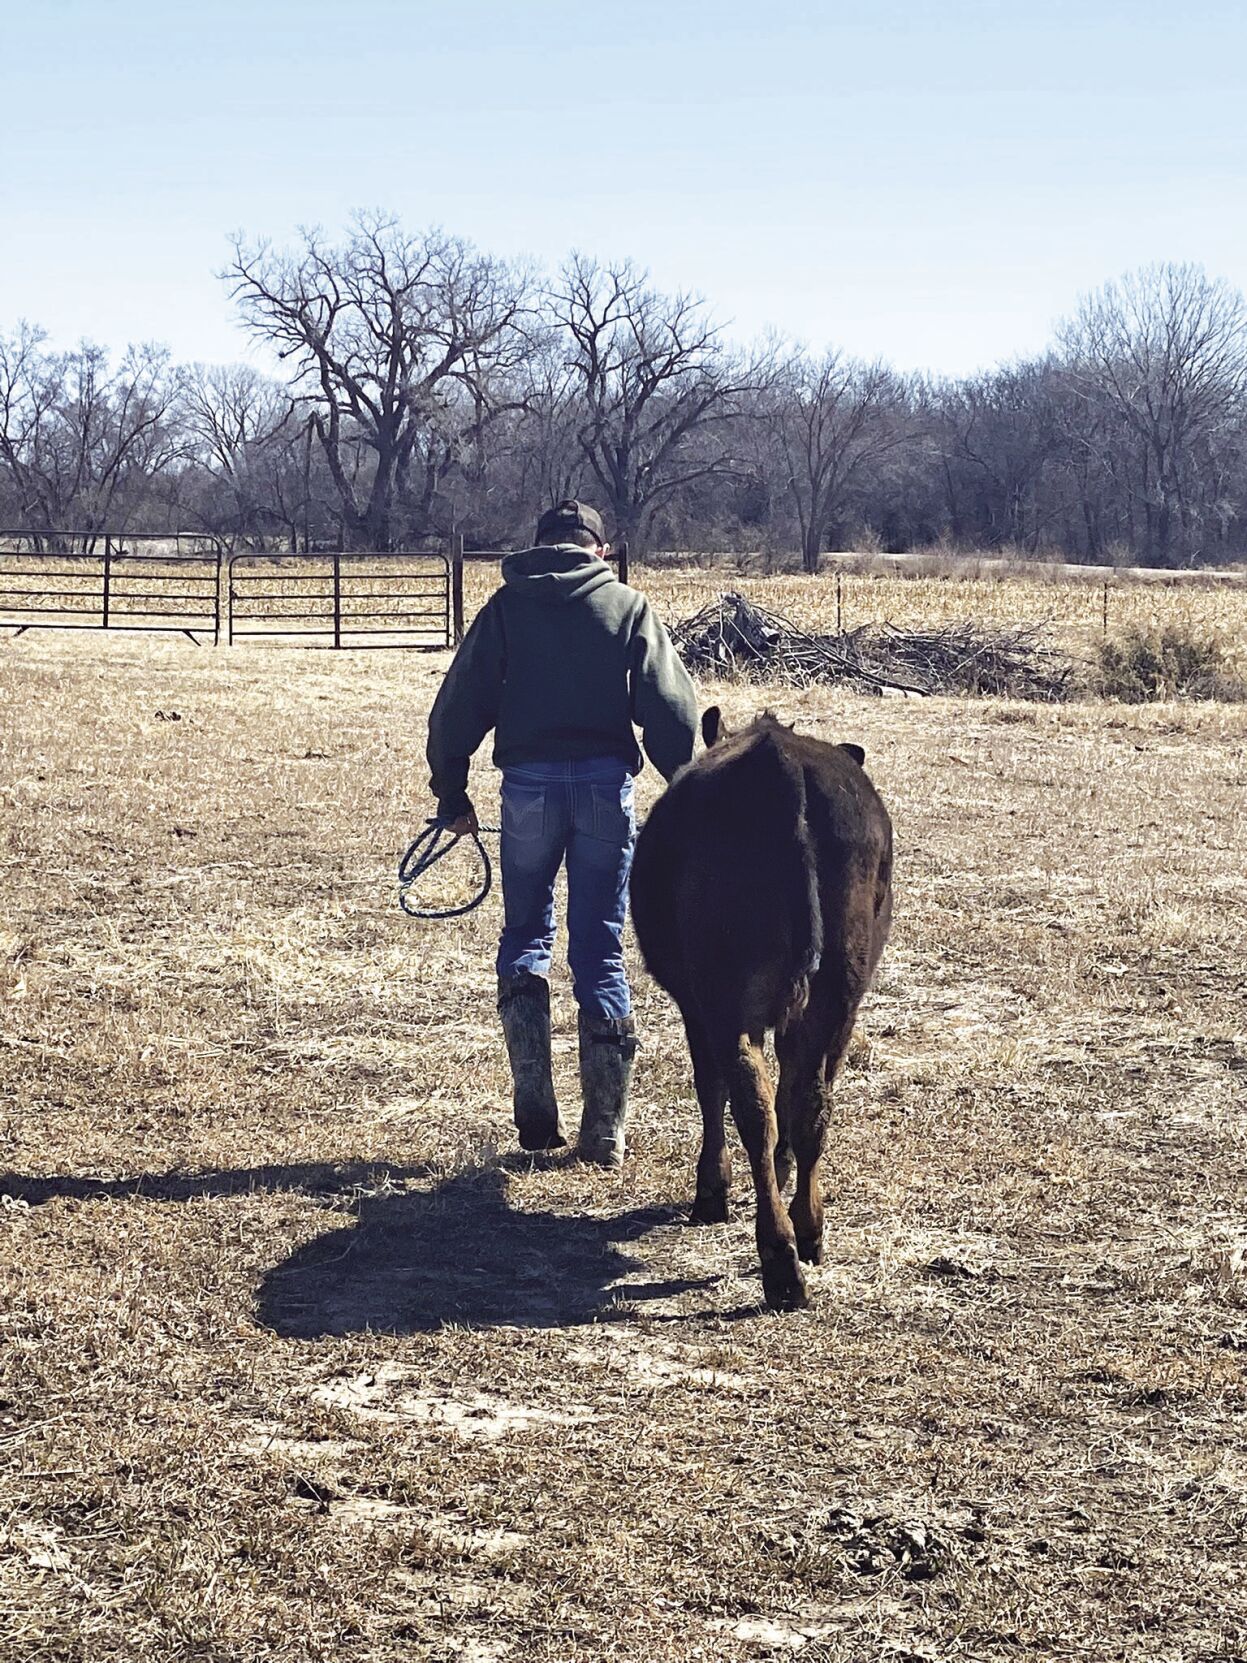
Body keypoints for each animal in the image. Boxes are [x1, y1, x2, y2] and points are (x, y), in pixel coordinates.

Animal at [629, 709, 893, 1311]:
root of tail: (781, 761)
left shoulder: (696, 1007)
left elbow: (711, 1089)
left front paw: (713, 1190)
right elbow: (796, 1093)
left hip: (726, 999)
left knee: (751, 1105)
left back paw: (778, 1259)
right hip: (838, 990)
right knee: (810, 1104)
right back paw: (807, 1232)